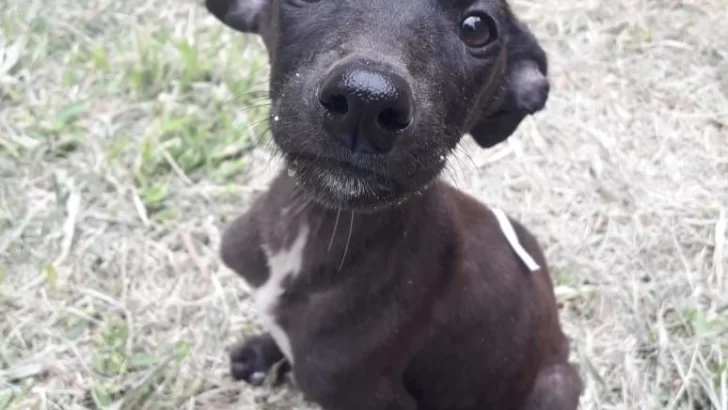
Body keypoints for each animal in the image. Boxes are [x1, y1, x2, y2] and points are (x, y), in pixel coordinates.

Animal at [205, 0, 580, 410]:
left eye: (477, 28)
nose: (365, 101)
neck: (314, 225)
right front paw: (264, 352)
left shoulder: (374, 396)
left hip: (553, 387)